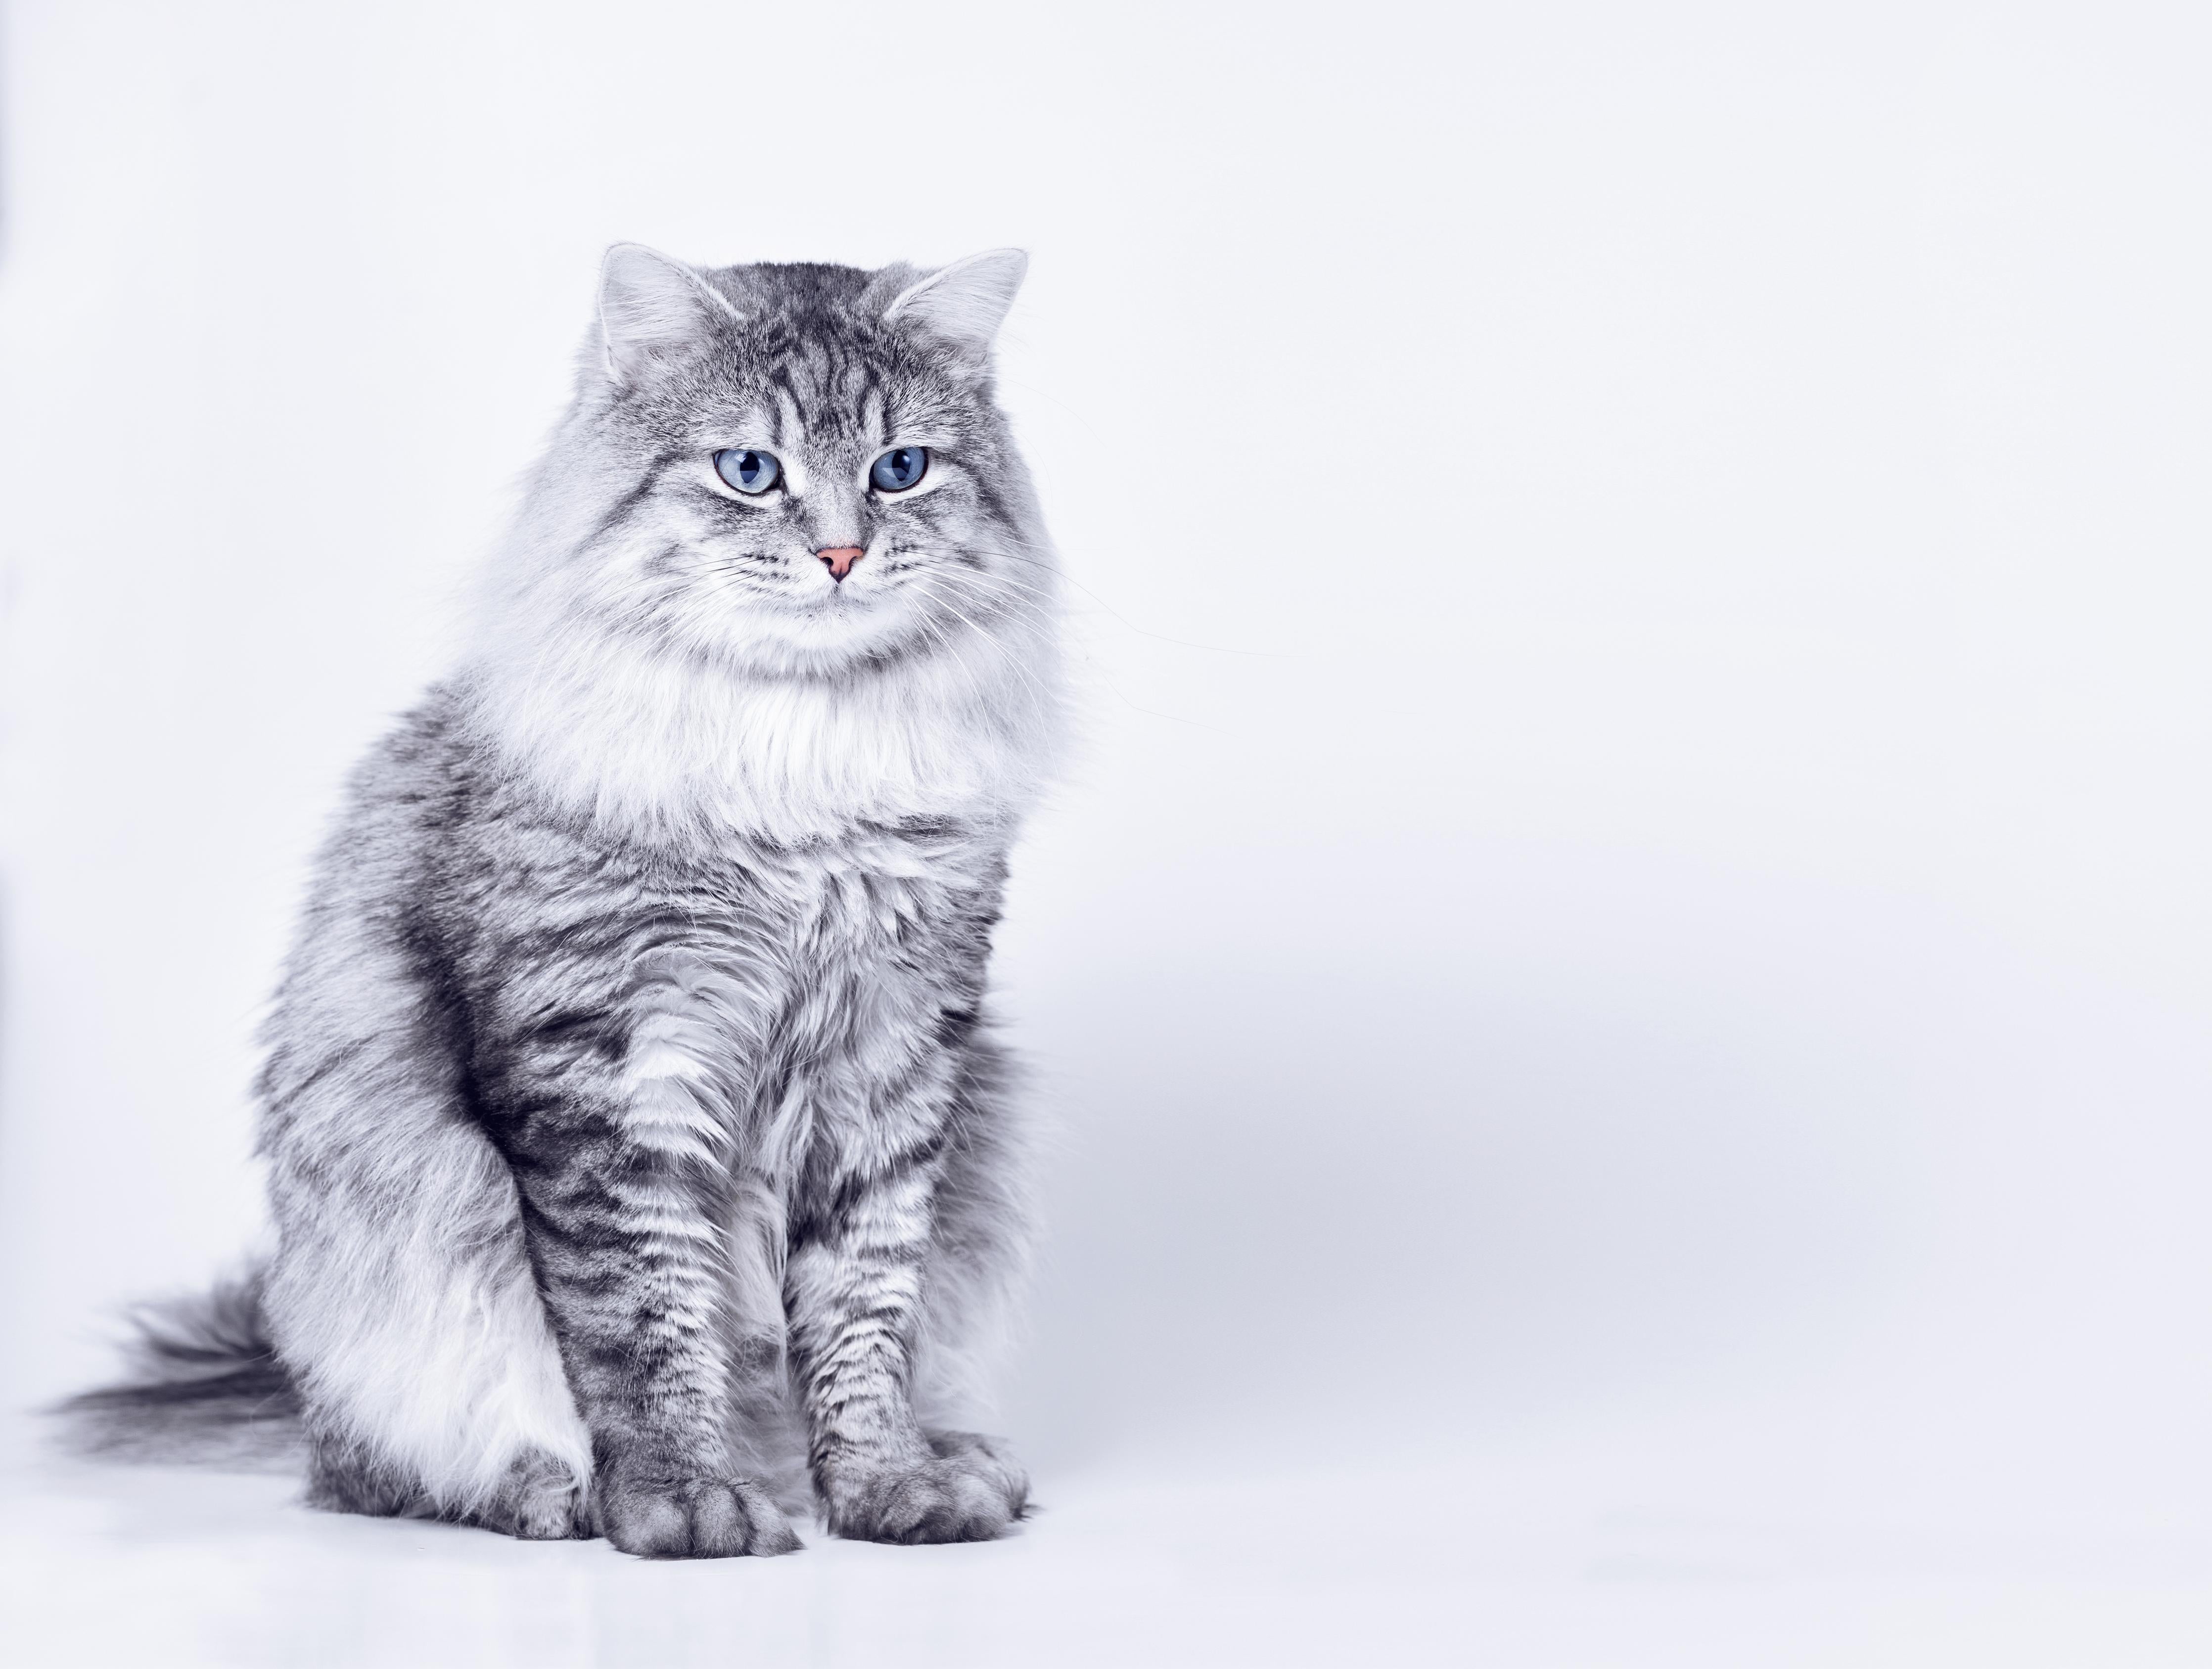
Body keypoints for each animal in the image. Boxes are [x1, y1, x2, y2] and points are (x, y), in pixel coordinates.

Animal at [58, 245, 1065, 1558]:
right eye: (750, 471)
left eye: (900, 470)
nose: (842, 555)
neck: (802, 767)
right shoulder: (611, 1065)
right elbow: (645, 1323)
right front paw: (684, 1502)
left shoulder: (893, 1060)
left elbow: (864, 1315)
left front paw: (889, 1483)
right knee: (386, 1469)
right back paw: (554, 1494)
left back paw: (926, 1460)